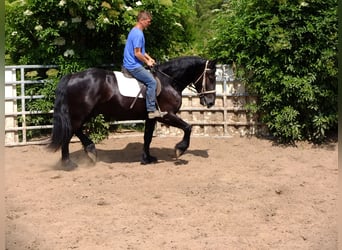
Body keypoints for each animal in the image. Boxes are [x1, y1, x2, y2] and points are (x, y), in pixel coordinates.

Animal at [48, 56, 216, 169]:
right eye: (211, 76)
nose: (211, 102)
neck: (169, 81)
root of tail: (72, 76)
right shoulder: (166, 115)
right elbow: (188, 127)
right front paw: (179, 150)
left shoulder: (151, 118)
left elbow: (148, 137)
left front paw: (147, 158)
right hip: (80, 114)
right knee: (70, 133)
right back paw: (68, 163)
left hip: (85, 114)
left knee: (76, 131)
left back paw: (90, 151)